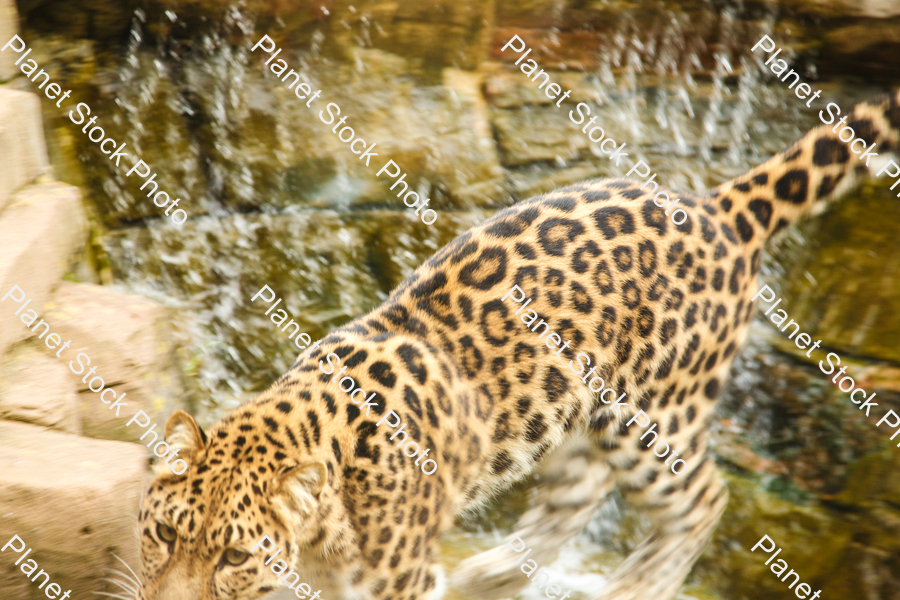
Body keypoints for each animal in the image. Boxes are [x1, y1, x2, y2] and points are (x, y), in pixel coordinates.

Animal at [132, 91, 900, 600]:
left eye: (233, 557)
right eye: (165, 536)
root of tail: (716, 208)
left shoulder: (394, 583)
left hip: (652, 415)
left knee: (703, 498)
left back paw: (633, 586)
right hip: (568, 409)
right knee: (579, 494)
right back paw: (490, 574)